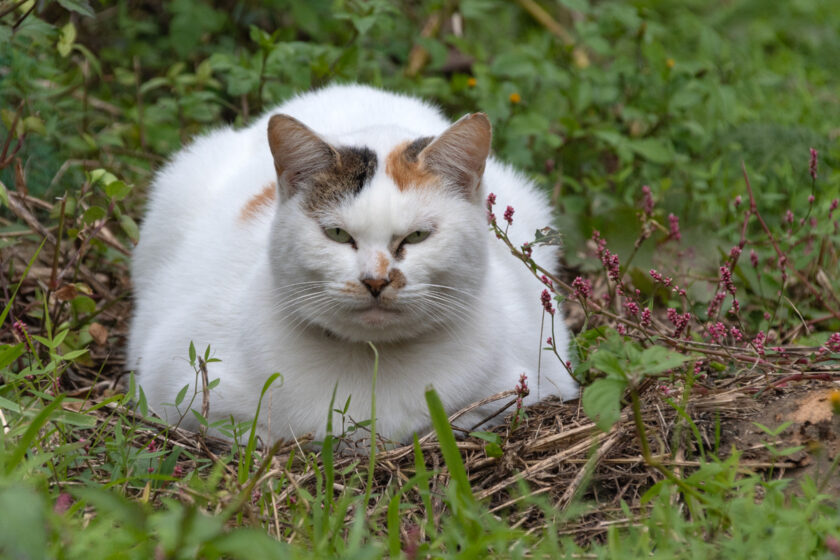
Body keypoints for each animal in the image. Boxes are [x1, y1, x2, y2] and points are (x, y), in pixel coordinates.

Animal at [128, 83, 576, 444]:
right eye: (339, 235)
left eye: (416, 236)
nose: (376, 281)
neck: (372, 364)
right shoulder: (179, 392)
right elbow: (262, 434)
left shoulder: (529, 387)